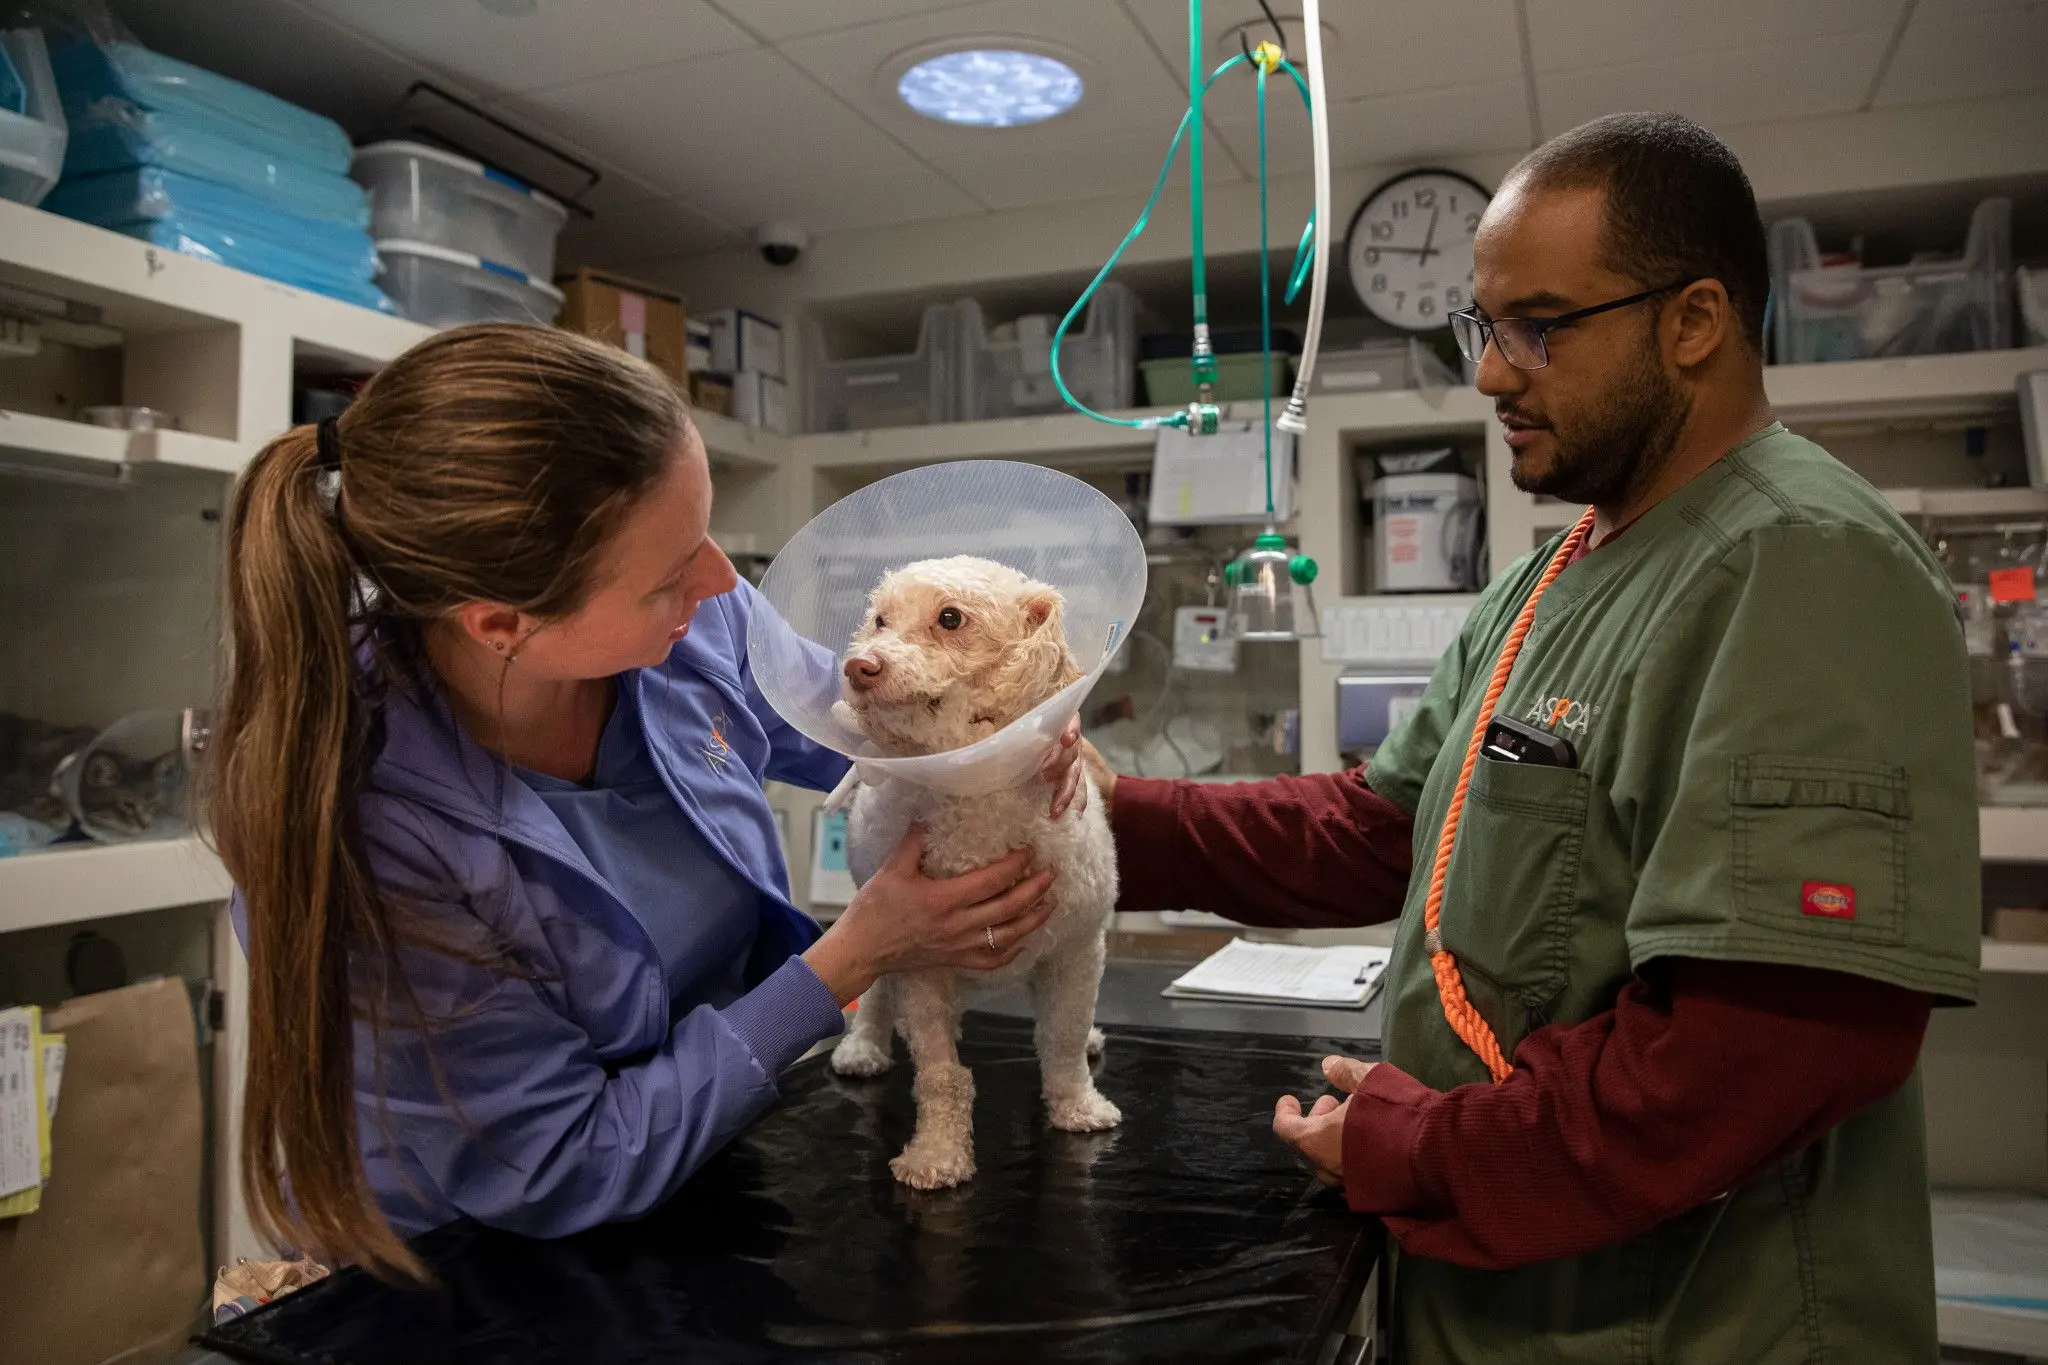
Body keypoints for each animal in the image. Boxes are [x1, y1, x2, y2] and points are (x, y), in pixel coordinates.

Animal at [827, 552, 1122, 1186]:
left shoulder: (1076, 949)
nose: (859, 666)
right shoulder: (920, 962)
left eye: (950, 618)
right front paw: (938, 1155)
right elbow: (941, 1074)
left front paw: (1077, 1106)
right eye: (880, 620)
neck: (976, 797)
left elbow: (1062, 1042)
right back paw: (863, 1047)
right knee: (877, 1001)